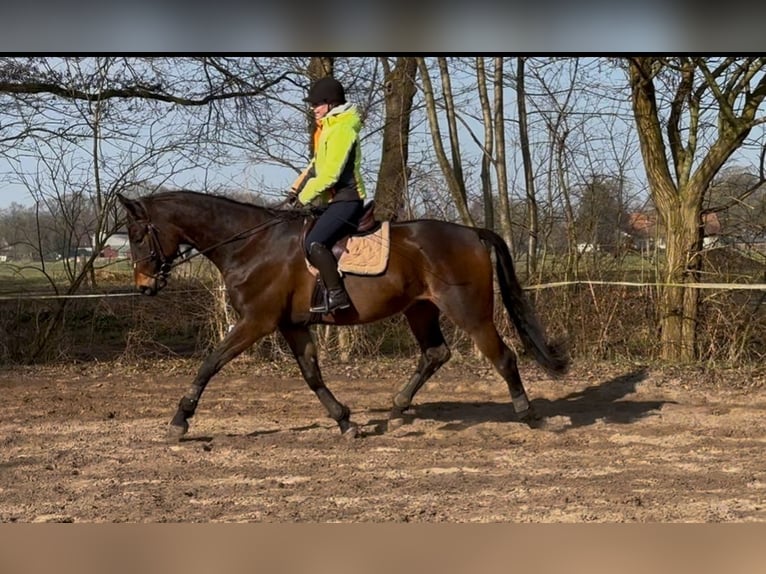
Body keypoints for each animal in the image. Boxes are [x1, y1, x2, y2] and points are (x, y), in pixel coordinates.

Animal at [117, 190, 569, 440]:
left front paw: (180, 421)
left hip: (469, 311)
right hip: (420, 310)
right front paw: (345, 422)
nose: (143, 286)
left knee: (503, 357)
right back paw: (398, 408)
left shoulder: (255, 322)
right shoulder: (292, 325)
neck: (250, 245)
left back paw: (529, 416)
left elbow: (209, 364)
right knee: (435, 354)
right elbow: (312, 375)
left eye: (137, 235)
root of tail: (472, 232)